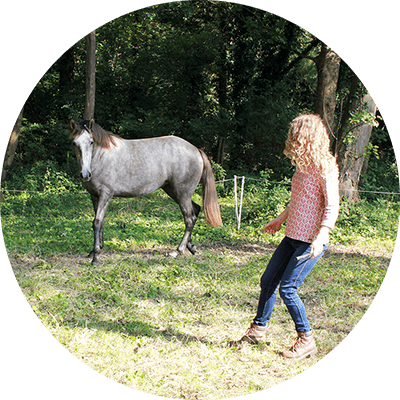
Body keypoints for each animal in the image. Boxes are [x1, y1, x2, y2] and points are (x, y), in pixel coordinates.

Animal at [69, 117, 225, 264]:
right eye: (74, 143)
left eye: (91, 142)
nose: (85, 174)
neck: (102, 157)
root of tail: (196, 150)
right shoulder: (95, 196)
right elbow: (99, 223)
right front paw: (94, 251)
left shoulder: (105, 195)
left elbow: (97, 222)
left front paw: (95, 257)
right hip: (174, 192)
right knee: (195, 211)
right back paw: (190, 247)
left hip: (183, 194)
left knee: (189, 218)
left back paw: (178, 251)